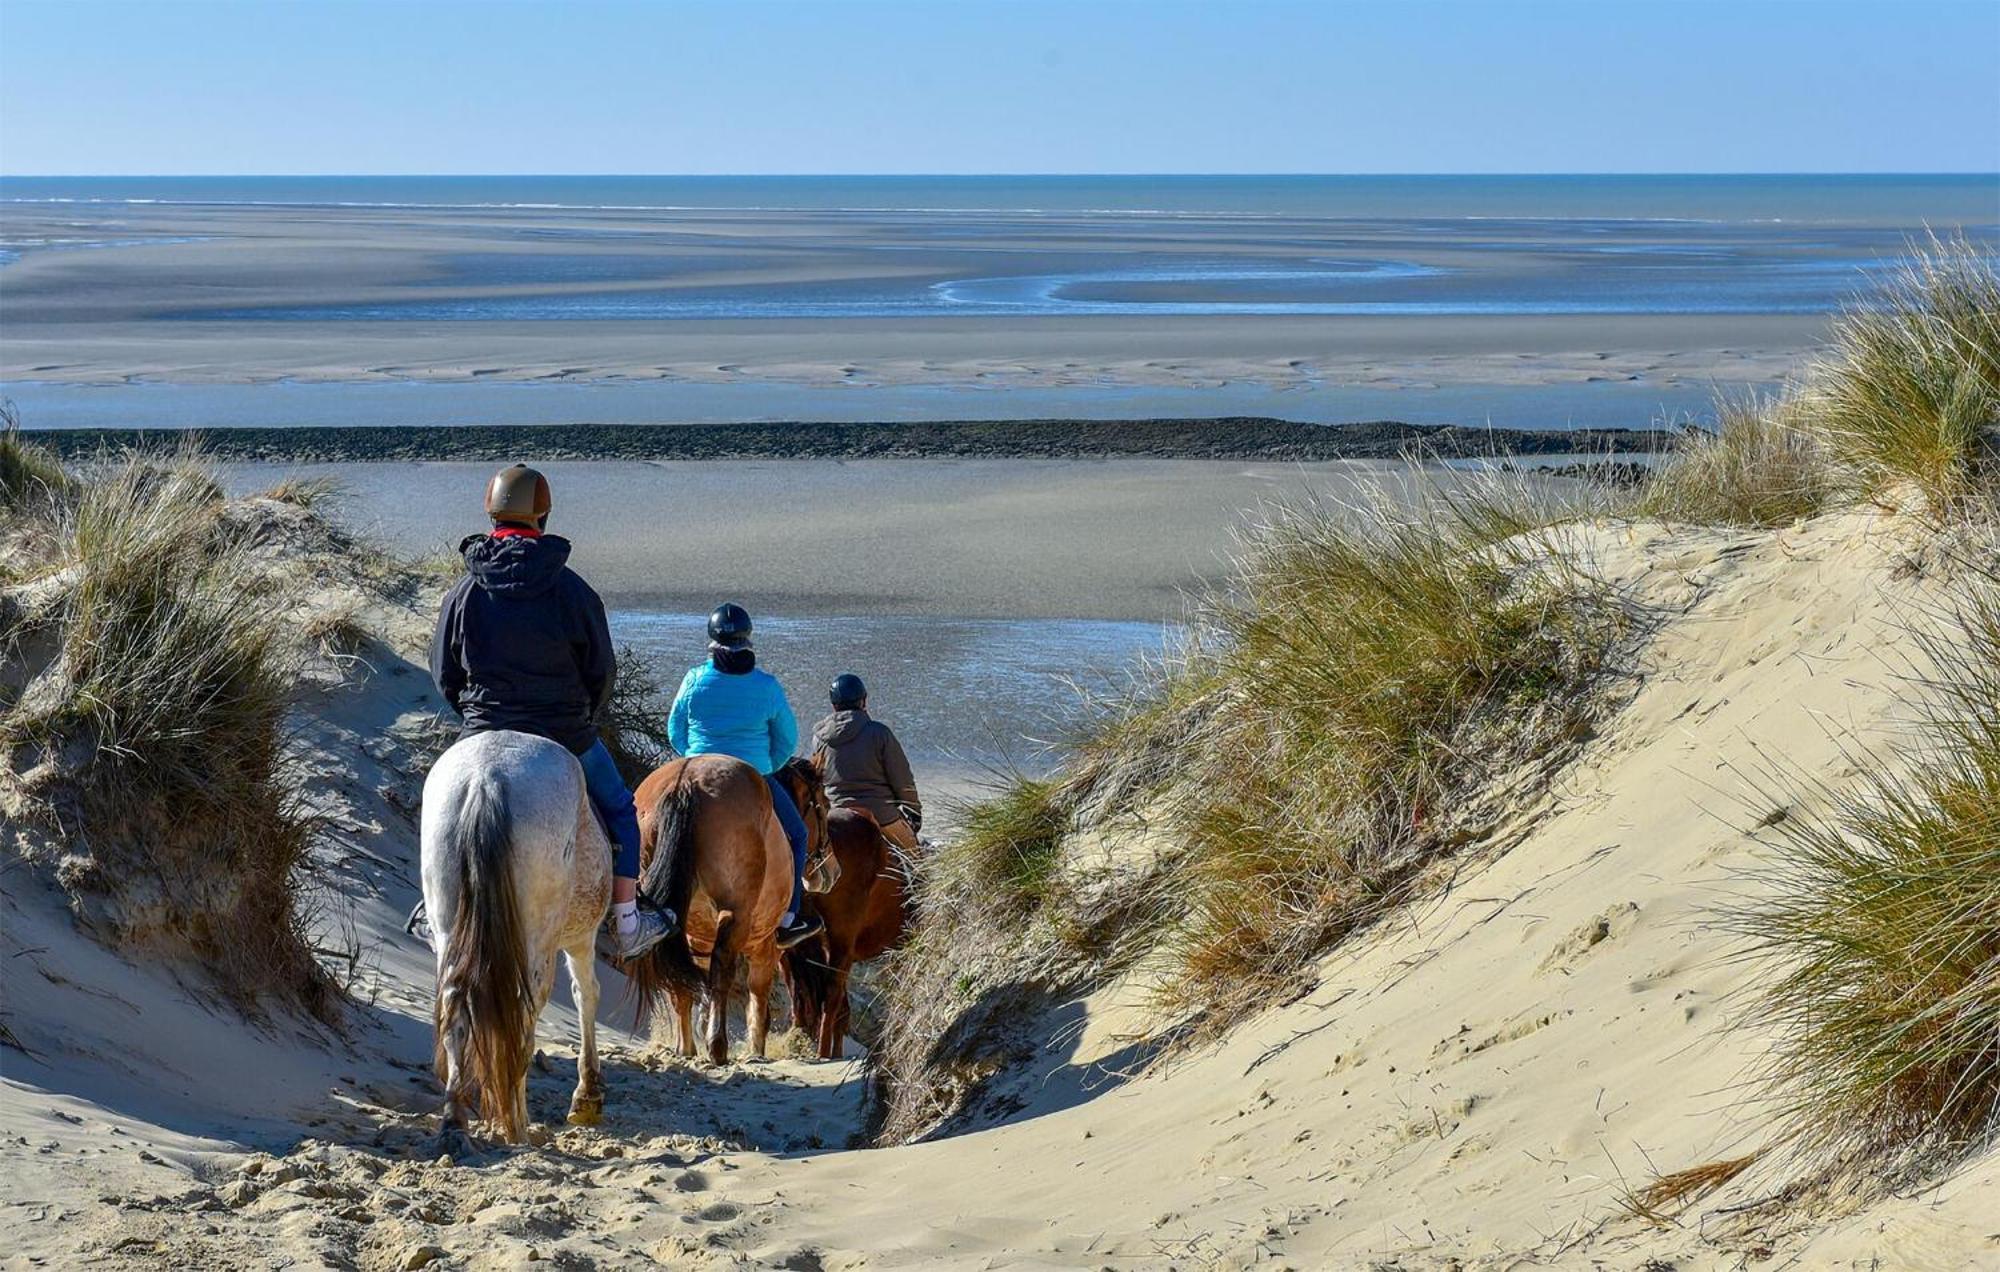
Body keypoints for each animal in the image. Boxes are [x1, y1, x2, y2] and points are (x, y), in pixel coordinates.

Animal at [636, 756, 832, 1064]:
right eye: (824, 804)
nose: (832, 871)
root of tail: (687, 782)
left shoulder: (699, 937)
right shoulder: (766, 947)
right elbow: (758, 998)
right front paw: (756, 1050)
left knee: (681, 977)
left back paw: (687, 1048)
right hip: (736, 914)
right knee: (722, 970)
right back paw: (717, 1046)